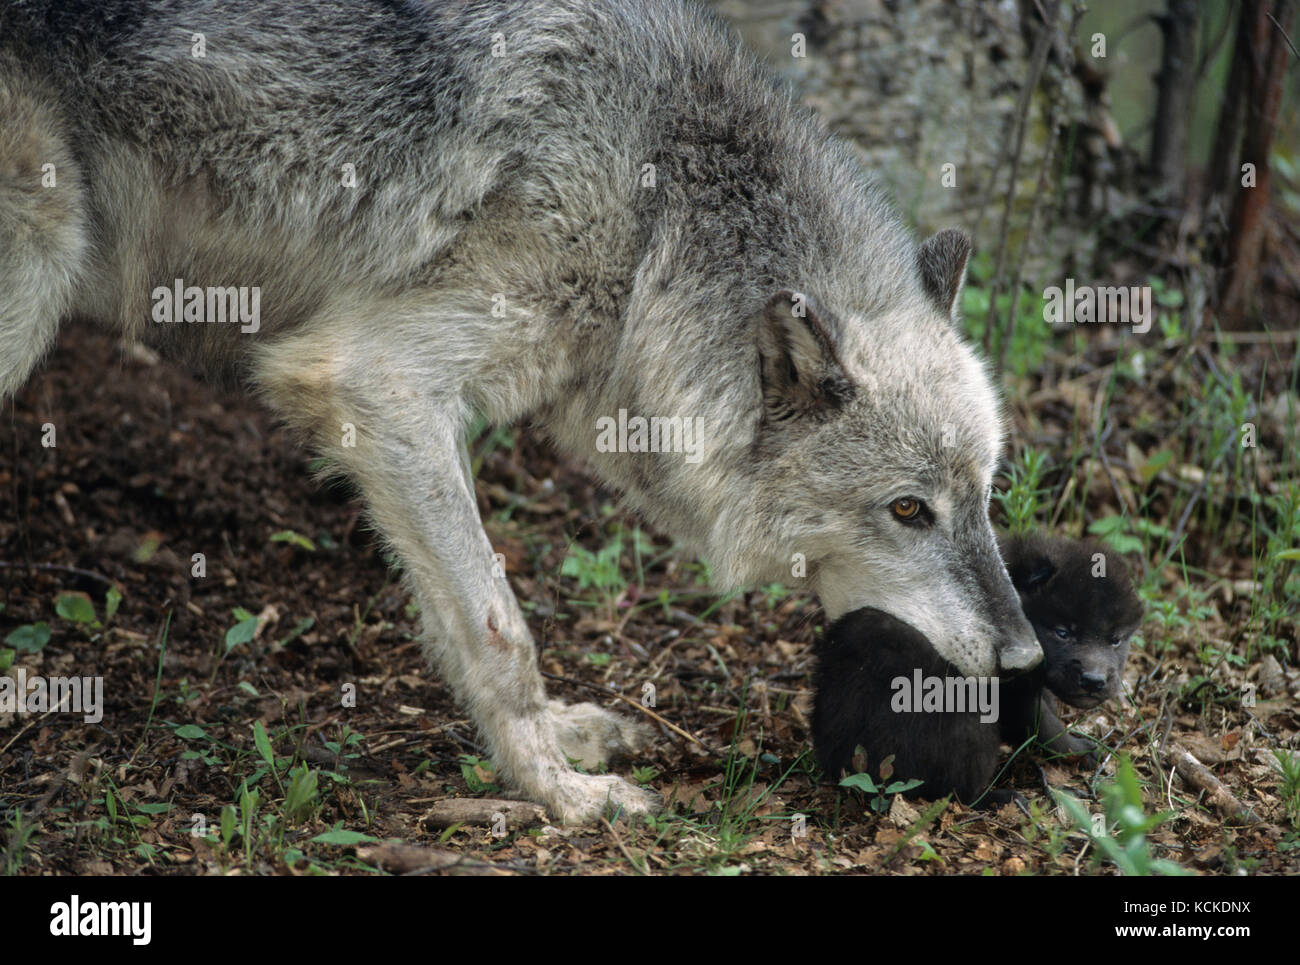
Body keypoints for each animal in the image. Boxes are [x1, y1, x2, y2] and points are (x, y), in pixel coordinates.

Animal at [0, 0, 1034, 821]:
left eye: (985, 496)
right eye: (908, 510)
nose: (1025, 658)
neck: (656, 212)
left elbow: (467, 612)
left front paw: (558, 743)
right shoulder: (375, 380)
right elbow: (498, 625)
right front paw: (556, 790)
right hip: (36, 275)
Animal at [816, 541, 1144, 806]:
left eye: (1115, 639)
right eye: (1063, 632)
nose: (1094, 680)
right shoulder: (1012, 696)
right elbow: (1045, 728)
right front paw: (1078, 750)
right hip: (962, 725)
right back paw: (999, 798)